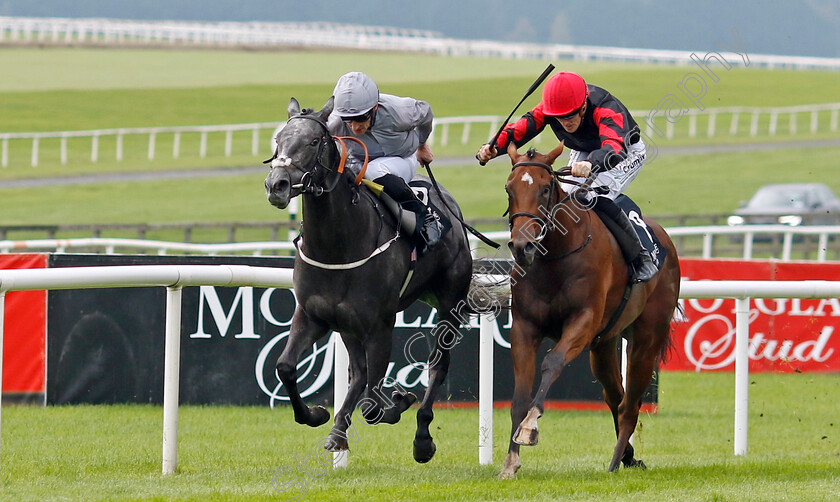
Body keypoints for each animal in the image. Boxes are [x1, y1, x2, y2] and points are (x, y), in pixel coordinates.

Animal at [264, 97, 472, 462]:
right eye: (278, 141)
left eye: (314, 141)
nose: (277, 185)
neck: (337, 246)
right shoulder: (313, 314)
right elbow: (286, 367)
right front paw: (316, 415)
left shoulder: (379, 325)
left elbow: (373, 403)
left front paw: (400, 400)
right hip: (348, 324)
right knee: (359, 375)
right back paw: (339, 429)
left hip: (450, 304)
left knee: (437, 365)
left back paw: (422, 439)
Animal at [498, 142, 684, 478]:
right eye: (509, 188)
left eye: (545, 189)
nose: (522, 246)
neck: (553, 258)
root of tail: (665, 239)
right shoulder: (524, 327)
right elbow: (519, 395)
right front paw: (510, 461)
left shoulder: (582, 321)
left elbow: (552, 362)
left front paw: (530, 427)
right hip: (605, 344)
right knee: (615, 396)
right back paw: (628, 456)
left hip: (647, 339)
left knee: (630, 403)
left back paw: (615, 462)